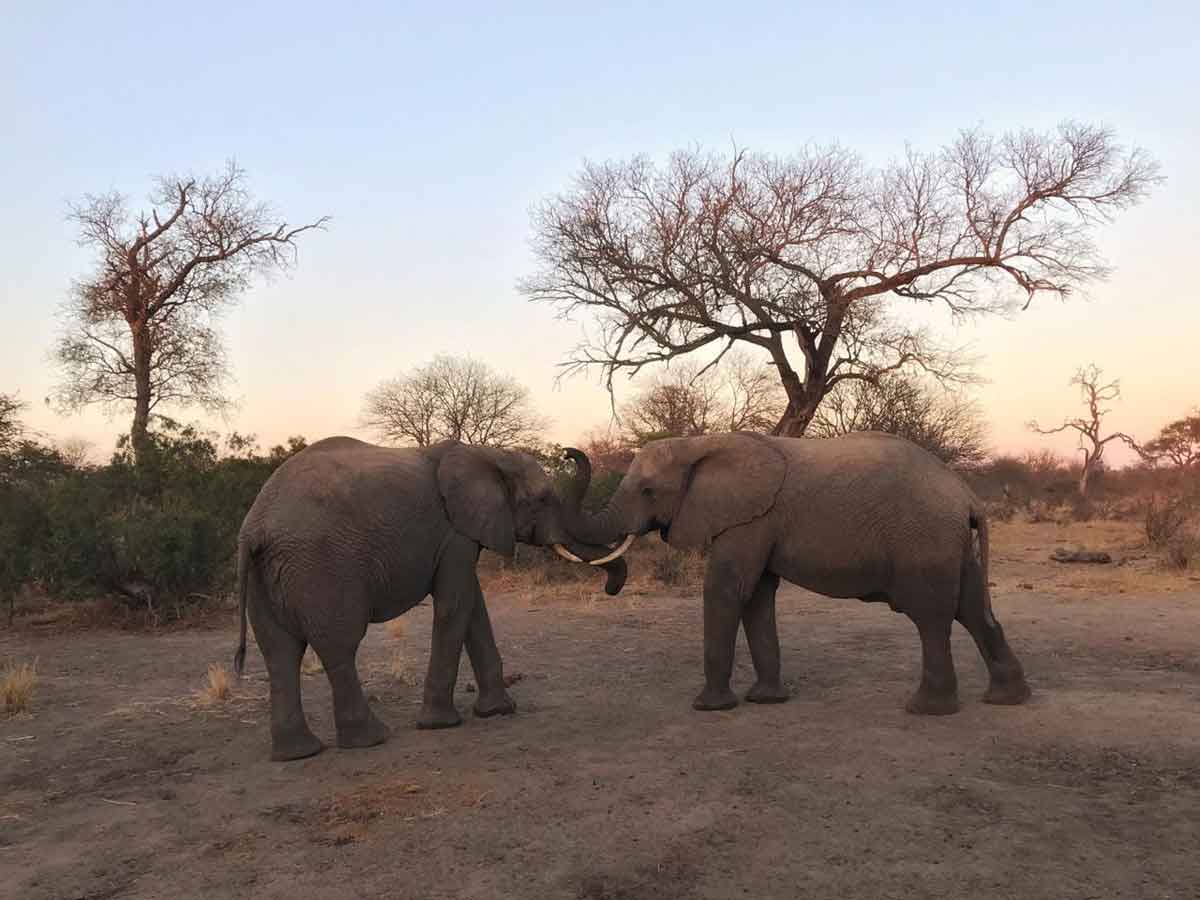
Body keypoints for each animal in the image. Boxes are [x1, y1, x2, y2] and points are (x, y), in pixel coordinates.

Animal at [233, 436, 626, 761]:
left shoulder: (464, 533)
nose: (566, 451)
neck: (488, 454)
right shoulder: (454, 533)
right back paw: (372, 739)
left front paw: (498, 711)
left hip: (265, 578)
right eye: (542, 500)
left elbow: (473, 606)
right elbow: (455, 605)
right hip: (321, 567)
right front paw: (441, 725)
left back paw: (297, 753)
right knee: (338, 646)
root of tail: (255, 528)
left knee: (280, 654)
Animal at [559, 431, 1031, 716]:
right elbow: (757, 597)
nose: (567, 452)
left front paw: (710, 708)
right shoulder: (757, 523)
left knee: (932, 618)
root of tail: (968, 496)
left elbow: (728, 590)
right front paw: (767, 701)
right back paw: (1007, 700)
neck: (703, 441)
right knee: (975, 612)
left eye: (647, 491)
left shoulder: (749, 519)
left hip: (925, 538)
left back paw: (926, 709)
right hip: (953, 544)